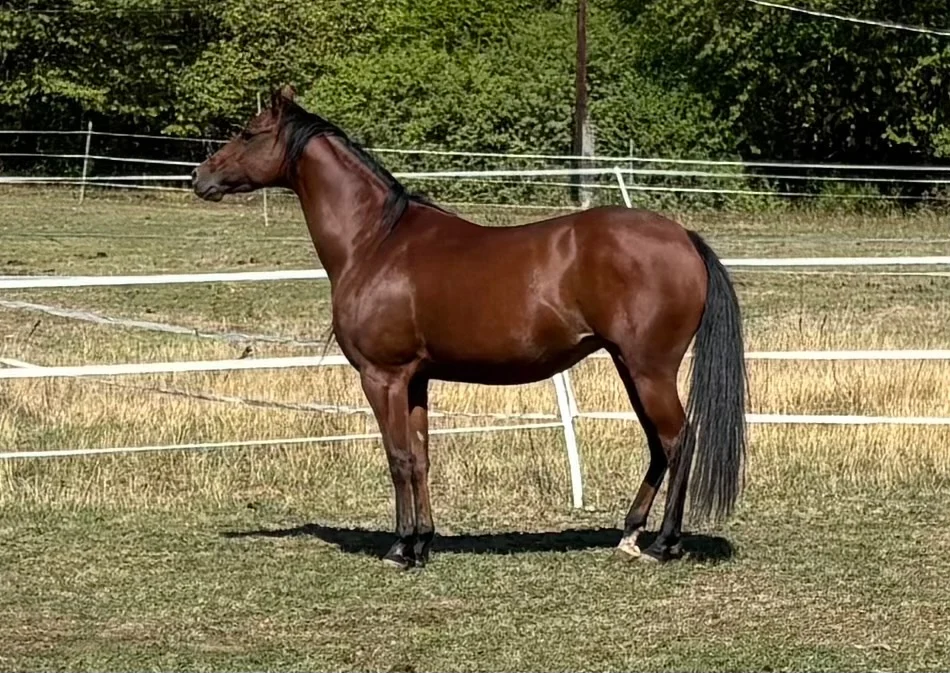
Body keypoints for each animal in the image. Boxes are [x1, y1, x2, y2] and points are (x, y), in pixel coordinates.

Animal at [192, 86, 748, 570]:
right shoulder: (416, 379)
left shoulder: (382, 377)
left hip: (649, 369)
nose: (200, 178)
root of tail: (683, 236)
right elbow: (420, 457)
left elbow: (397, 457)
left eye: (247, 133)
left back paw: (663, 544)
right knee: (659, 444)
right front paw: (422, 542)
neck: (376, 242)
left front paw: (399, 549)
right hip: (629, 367)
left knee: (678, 440)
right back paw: (630, 533)